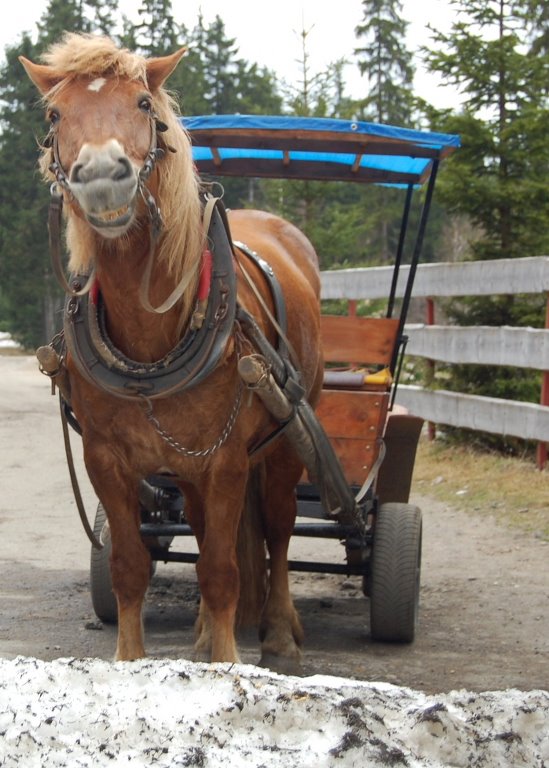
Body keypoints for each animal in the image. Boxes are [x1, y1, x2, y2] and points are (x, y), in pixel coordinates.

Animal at [22, 33, 322, 668]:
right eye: (56, 115)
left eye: (142, 104)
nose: (102, 173)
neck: (149, 348)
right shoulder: (106, 459)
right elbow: (130, 566)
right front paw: (132, 661)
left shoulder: (228, 458)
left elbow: (223, 569)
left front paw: (227, 662)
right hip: (187, 470)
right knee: (208, 528)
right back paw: (206, 630)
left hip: (286, 439)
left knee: (279, 530)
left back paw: (279, 633)